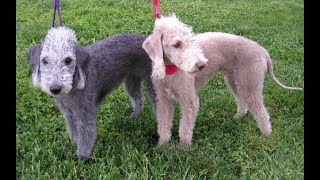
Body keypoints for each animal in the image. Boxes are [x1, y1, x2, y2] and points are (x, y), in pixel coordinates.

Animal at [27, 26, 156, 160]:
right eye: (44, 60)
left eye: (68, 60)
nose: (55, 88)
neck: (73, 86)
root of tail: (146, 40)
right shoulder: (68, 114)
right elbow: (73, 132)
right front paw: (75, 144)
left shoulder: (85, 113)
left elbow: (85, 137)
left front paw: (82, 158)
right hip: (131, 80)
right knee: (138, 99)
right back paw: (135, 116)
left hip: (152, 84)